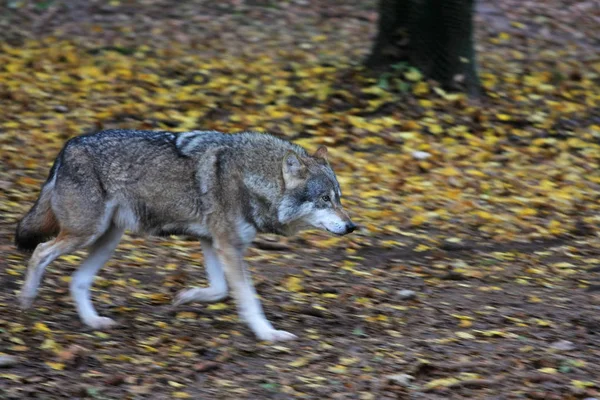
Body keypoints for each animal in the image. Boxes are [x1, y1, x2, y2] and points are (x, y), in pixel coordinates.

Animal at [15, 130, 356, 342]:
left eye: (339, 198)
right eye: (324, 199)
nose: (352, 226)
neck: (251, 180)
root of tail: (67, 147)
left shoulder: (212, 243)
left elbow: (219, 289)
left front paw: (184, 297)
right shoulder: (228, 246)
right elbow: (248, 298)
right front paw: (268, 334)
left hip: (108, 238)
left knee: (77, 280)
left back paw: (94, 322)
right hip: (85, 234)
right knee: (39, 252)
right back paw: (26, 299)